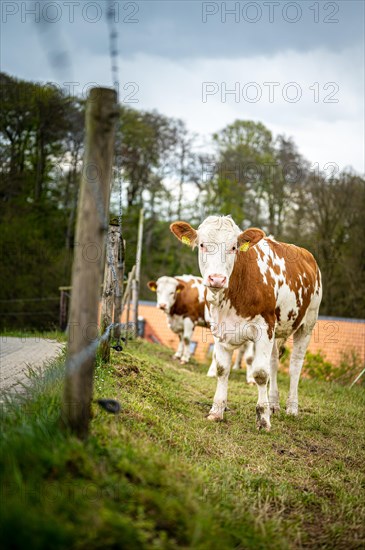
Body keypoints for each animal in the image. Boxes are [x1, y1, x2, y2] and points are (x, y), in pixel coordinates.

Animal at [171, 215, 322, 432]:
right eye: (202, 245)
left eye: (234, 247)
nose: (217, 279)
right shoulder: (220, 329)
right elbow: (222, 369)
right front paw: (216, 411)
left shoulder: (264, 328)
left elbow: (260, 373)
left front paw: (263, 418)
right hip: (278, 330)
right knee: (274, 362)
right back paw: (274, 404)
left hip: (307, 324)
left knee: (295, 364)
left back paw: (292, 408)